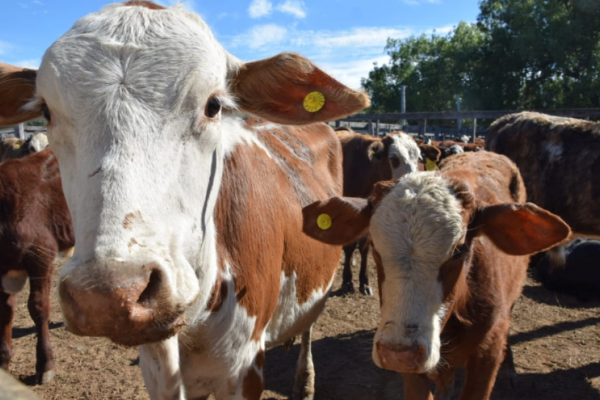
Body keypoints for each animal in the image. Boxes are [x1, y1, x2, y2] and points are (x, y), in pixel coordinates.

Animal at [336, 126, 438, 296]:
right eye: (393, 158)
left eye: (419, 158)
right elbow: (349, 247)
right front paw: (347, 281)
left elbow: (364, 247)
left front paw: (364, 282)